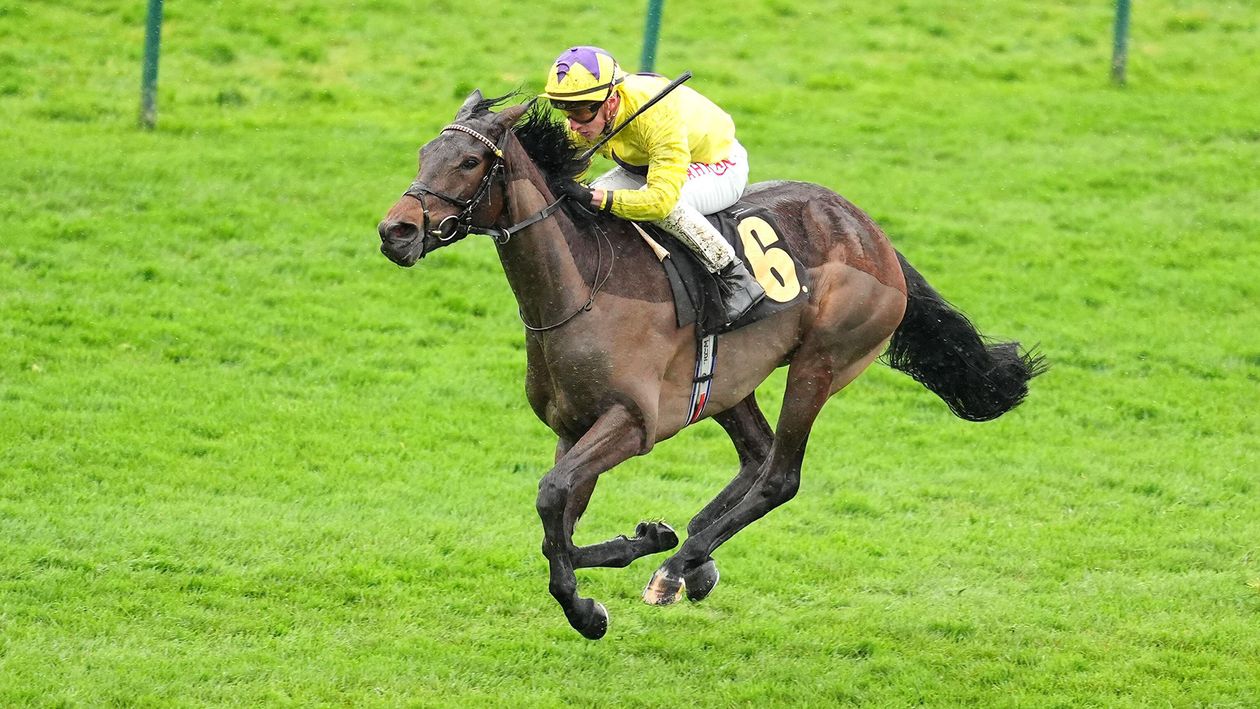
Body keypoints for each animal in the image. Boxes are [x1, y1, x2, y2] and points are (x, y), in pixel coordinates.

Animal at [377, 91, 1046, 639]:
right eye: (425, 153)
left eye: (469, 162)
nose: (395, 231)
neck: (580, 288)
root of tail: (873, 235)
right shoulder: (573, 427)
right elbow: (556, 525)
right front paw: (646, 539)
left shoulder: (634, 423)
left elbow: (551, 498)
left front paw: (590, 609)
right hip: (728, 384)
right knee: (757, 456)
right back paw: (691, 562)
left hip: (820, 363)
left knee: (780, 475)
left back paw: (679, 565)